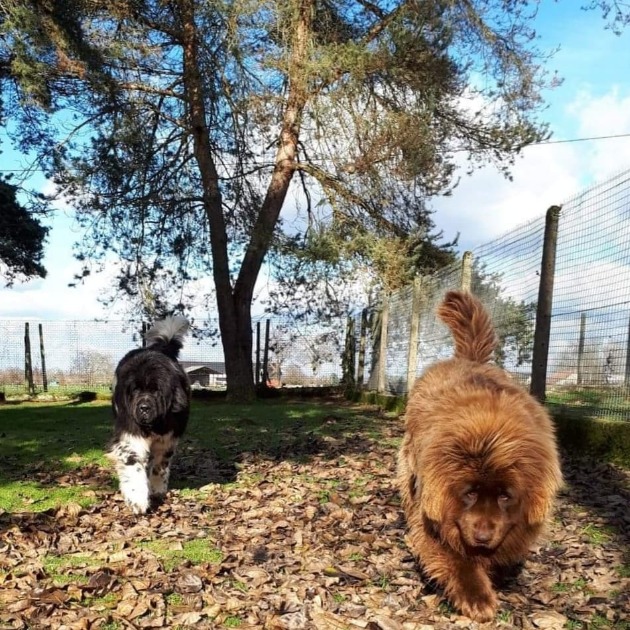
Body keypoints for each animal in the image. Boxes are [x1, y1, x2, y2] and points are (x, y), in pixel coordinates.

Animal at [108, 318, 190, 516]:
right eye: (135, 390)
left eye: (156, 390)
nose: (144, 407)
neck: (155, 425)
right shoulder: (130, 436)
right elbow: (133, 466)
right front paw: (137, 499)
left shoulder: (168, 439)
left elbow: (161, 466)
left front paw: (157, 489)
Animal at [398, 294, 564, 624]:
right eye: (470, 493)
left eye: (505, 496)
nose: (484, 535)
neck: (488, 431)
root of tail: (469, 359)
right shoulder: (432, 511)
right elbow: (454, 555)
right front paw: (476, 597)